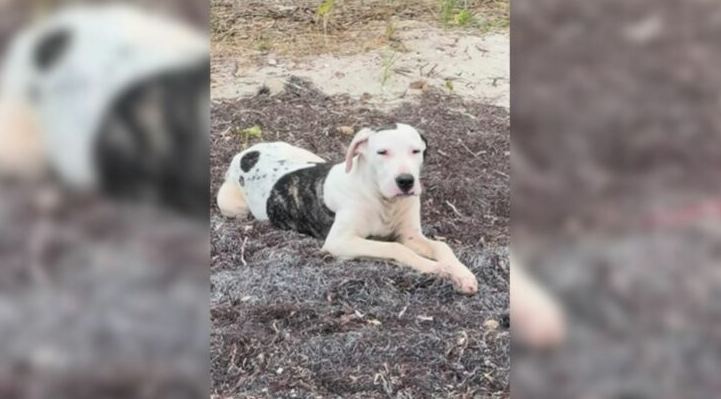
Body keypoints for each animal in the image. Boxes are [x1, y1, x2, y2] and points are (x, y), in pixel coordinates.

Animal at [218, 123, 478, 296]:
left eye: (416, 151)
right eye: (382, 152)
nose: (406, 181)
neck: (381, 199)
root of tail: (247, 152)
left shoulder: (411, 235)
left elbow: (442, 246)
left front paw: (461, 273)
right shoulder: (340, 242)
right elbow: (396, 248)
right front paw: (439, 269)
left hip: (308, 155)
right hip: (231, 205)